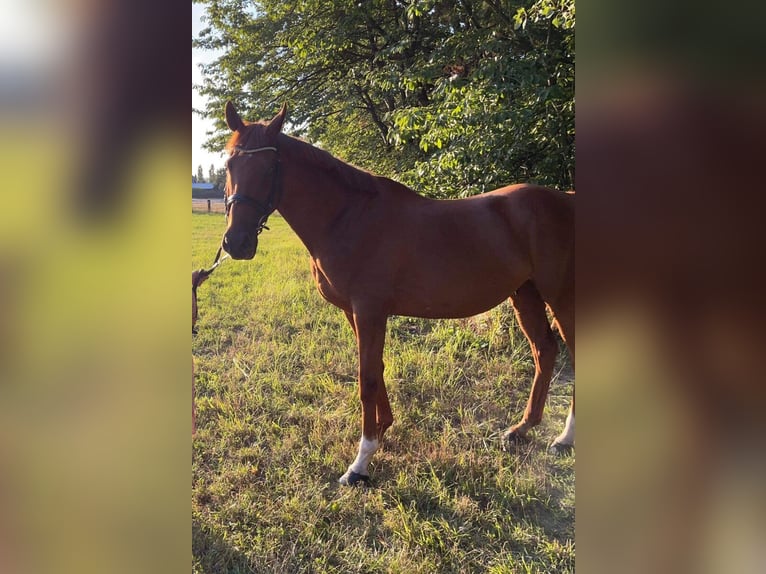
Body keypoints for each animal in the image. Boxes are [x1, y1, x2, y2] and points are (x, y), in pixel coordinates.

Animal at [219, 102, 572, 486]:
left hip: (562, 296)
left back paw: (564, 438)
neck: (348, 217)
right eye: (229, 165)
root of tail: (567, 200)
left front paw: (360, 463)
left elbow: (367, 378)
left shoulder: (369, 310)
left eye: (269, 167)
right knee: (545, 350)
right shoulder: (355, 312)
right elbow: (377, 368)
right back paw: (522, 429)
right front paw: (383, 428)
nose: (237, 243)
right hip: (526, 294)